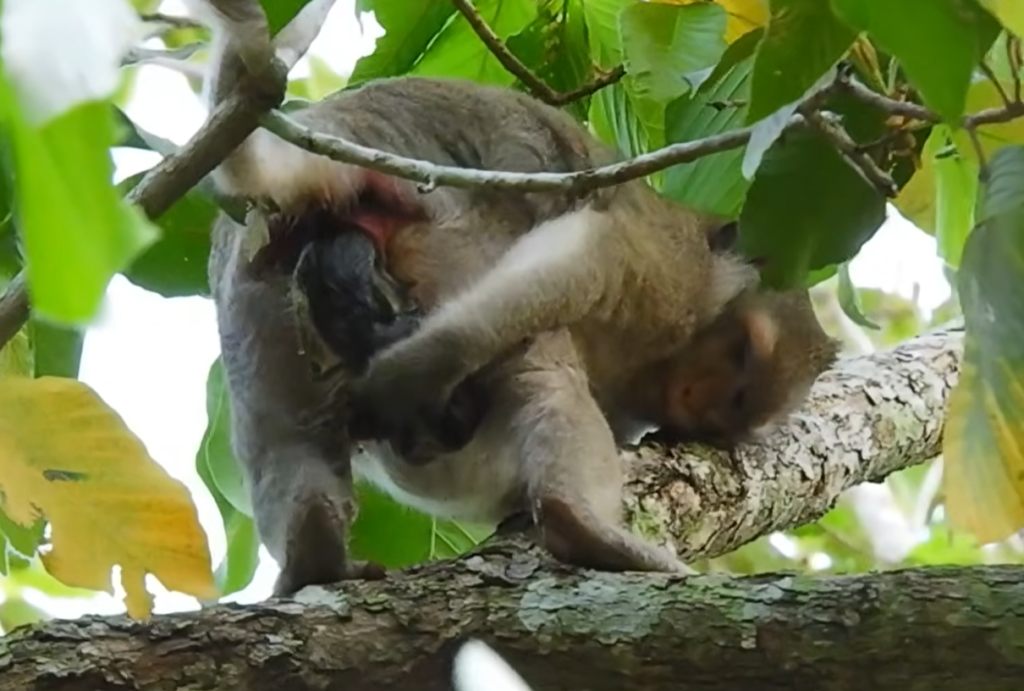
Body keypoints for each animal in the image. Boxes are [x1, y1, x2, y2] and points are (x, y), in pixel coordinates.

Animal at [185, 0, 761, 592]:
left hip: (253, 295)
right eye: (738, 381)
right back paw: (581, 524)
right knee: (539, 367)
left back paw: (314, 551)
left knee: (283, 437)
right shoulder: (673, 272)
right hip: (450, 242)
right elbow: (588, 254)